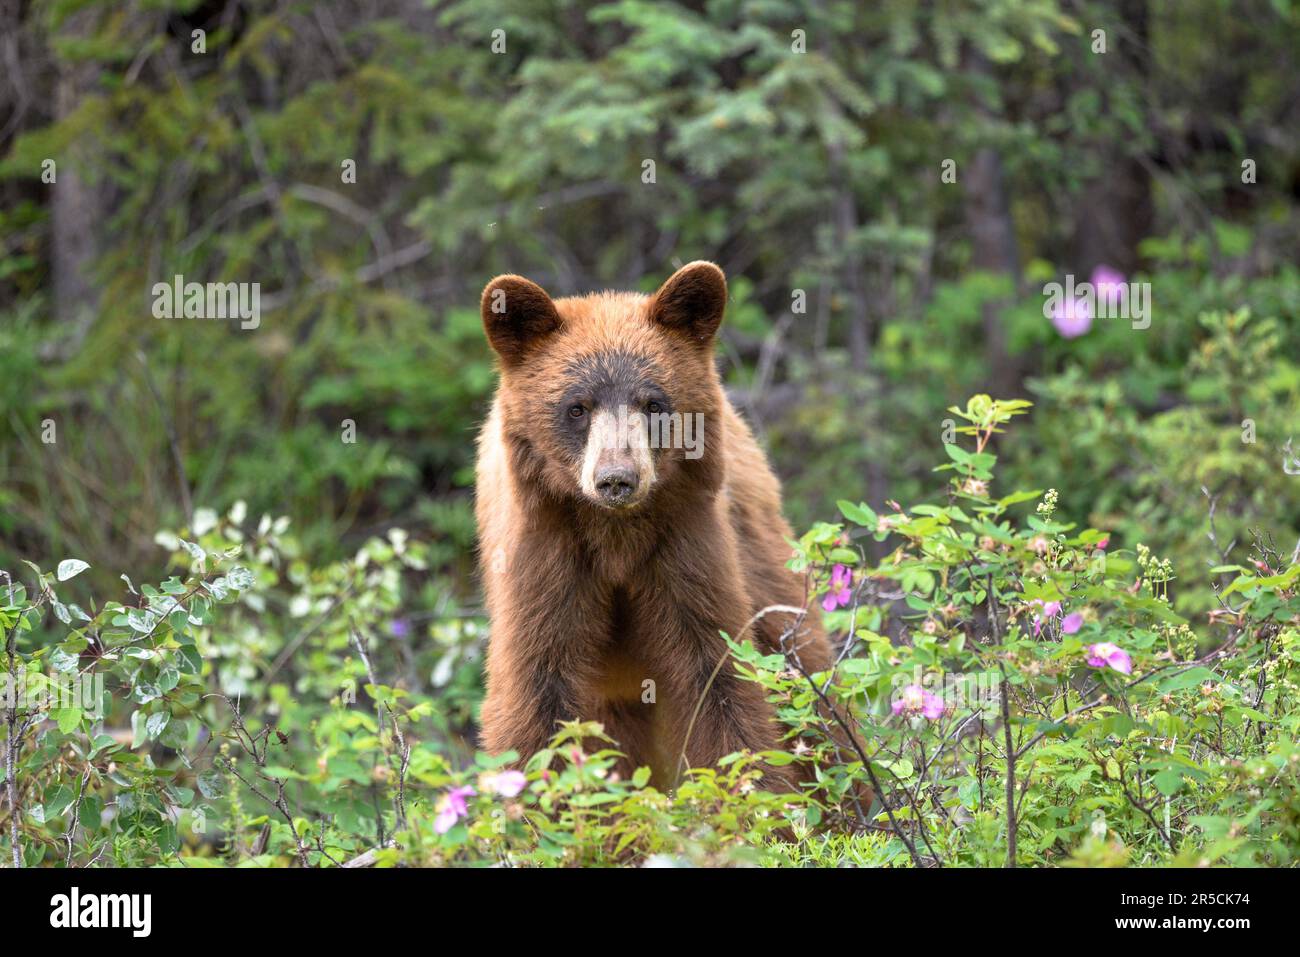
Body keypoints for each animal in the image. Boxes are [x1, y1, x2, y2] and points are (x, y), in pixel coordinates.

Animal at [474, 261, 835, 790]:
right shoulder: (545, 552)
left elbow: (719, 673)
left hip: (761, 557)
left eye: (653, 404)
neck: (616, 536)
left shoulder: (685, 542)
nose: (616, 479)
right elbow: (537, 689)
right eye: (576, 406)